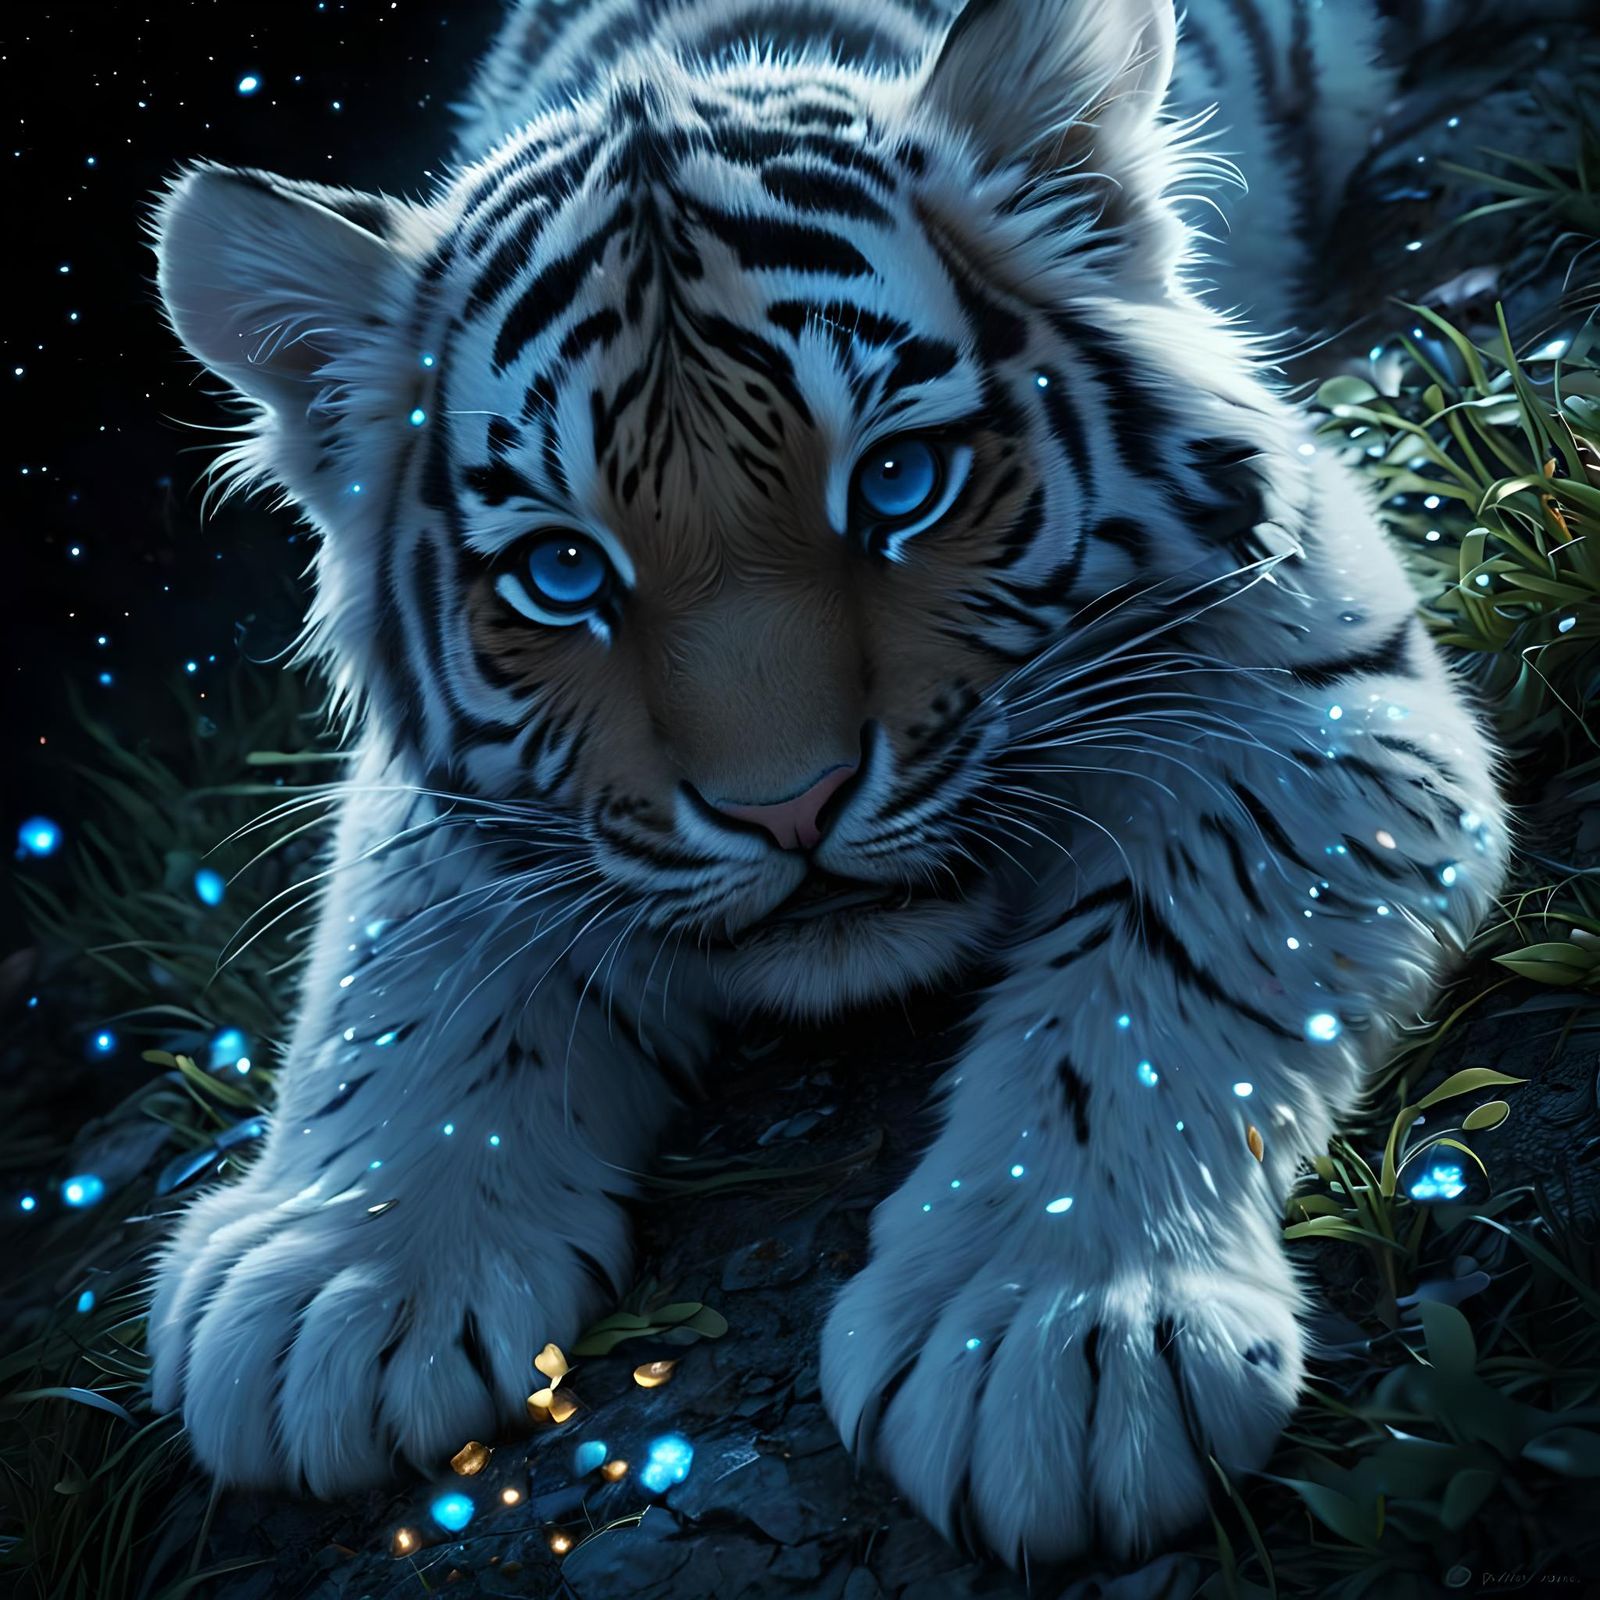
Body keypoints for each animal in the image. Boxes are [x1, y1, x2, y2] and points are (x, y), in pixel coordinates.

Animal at [146, 0, 1525, 1567]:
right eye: (563, 571)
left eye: (899, 481)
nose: (785, 807)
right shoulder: (448, 809)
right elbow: (409, 986)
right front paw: (331, 1283)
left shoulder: (1315, 685)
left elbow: (1159, 965)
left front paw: (1047, 1342)